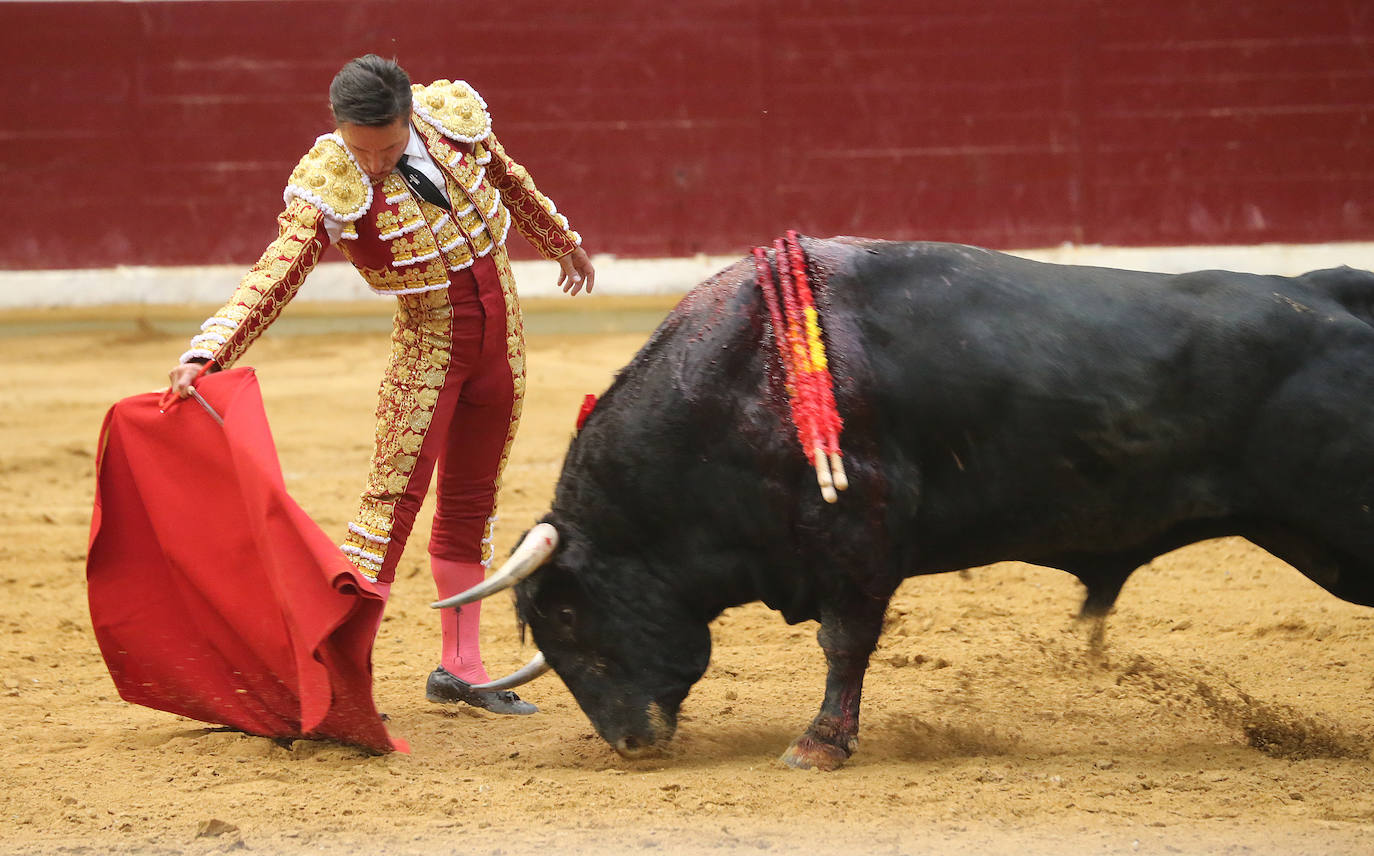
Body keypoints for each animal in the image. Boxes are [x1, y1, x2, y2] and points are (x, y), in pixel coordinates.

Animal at [458, 239, 1374, 769]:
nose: (629, 743)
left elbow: (844, 643)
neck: (743, 376)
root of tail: (1330, 291)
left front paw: (819, 747)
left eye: (566, 615)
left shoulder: (857, 539)